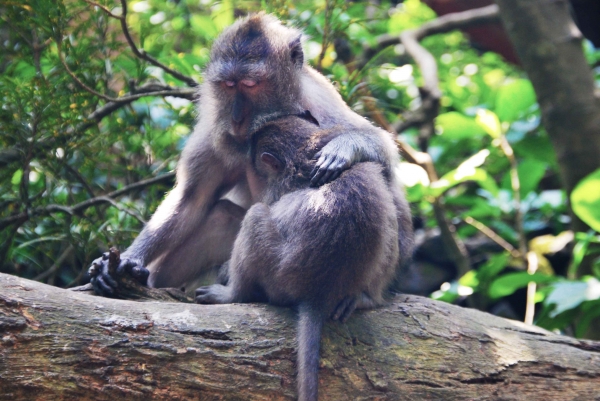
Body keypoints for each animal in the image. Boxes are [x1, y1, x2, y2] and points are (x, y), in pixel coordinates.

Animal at [89, 13, 412, 294]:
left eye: (250, 84)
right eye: (228, 85)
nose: (236, 118)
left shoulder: (322, 102)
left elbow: (381, 152)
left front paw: (345, 147)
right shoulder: (215, 130)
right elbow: (192, 199)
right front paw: (130, 259)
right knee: (220, 215)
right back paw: (144, 279)